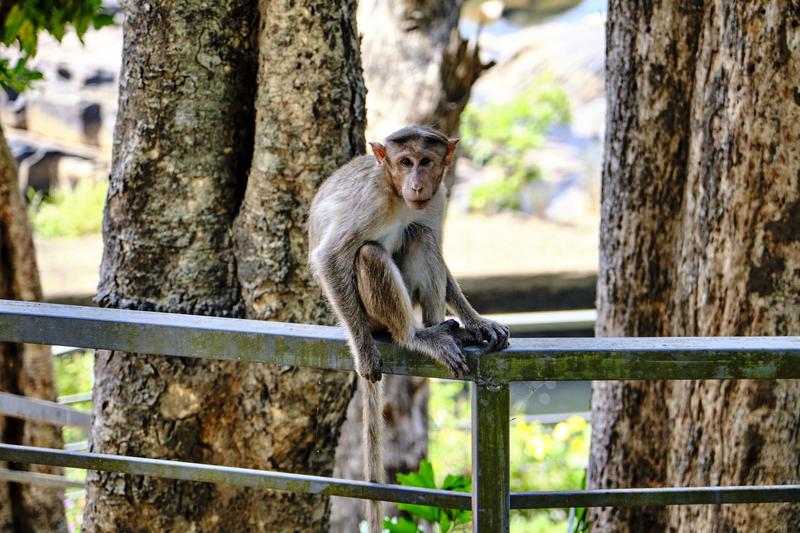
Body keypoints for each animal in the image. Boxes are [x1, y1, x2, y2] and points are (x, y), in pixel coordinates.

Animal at [310, 125, 510, 532]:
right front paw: (364, 355)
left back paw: (446, 328)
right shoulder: (369, 201)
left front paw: (477, 321)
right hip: (370, 316)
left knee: (421, 235)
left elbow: (431, 237)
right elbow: (330, 257)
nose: (416, 184)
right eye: (404, 162)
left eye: (426, 161)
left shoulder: (440, 196)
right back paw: (415, 337)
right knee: (369, 254)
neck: (396, 195)